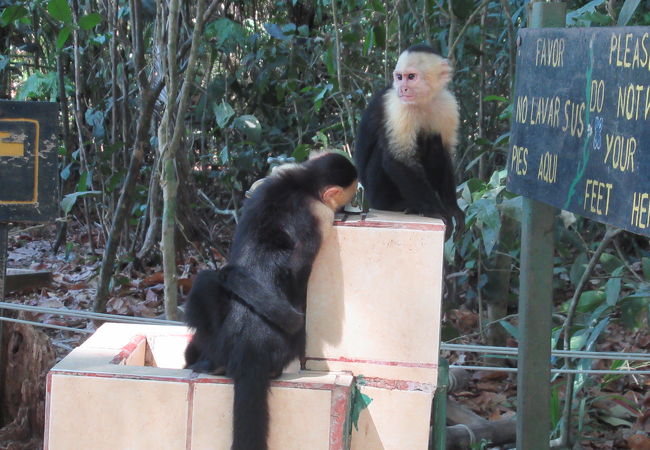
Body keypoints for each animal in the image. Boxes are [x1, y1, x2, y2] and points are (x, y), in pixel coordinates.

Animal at [182, 152, 356, 450]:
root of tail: (250, 349)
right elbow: (298, 274)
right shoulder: (321, 213)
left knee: (205, 281)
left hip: (217, 342)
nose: (348, 206)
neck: (302, 184)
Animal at [354, 44, 460, 239]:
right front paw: (438, 212)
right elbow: (398, 159)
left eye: (411, 77)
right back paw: (397, 204)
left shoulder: (447, 104)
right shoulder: (397, 105)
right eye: (399, 77)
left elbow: (447, 153)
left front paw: (452, 208)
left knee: (434, 140)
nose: (402, 89)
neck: (423, 101)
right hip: (374, 193)